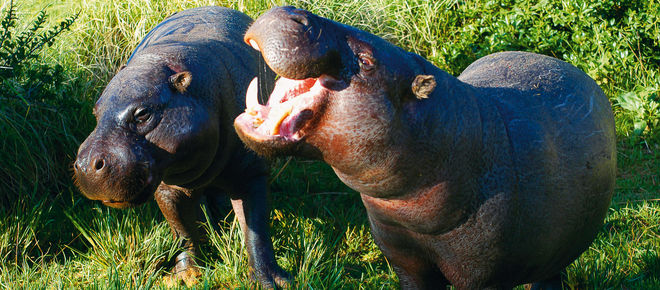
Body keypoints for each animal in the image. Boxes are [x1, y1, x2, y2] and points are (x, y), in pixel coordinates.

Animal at [73, 6, 288, 288]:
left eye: (142, 114)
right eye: (96, 111)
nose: (87, 165)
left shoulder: (252, 174)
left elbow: (257, 231)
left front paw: (271, 282)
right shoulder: (167, 187)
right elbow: (183, 231)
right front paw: (185, 277)